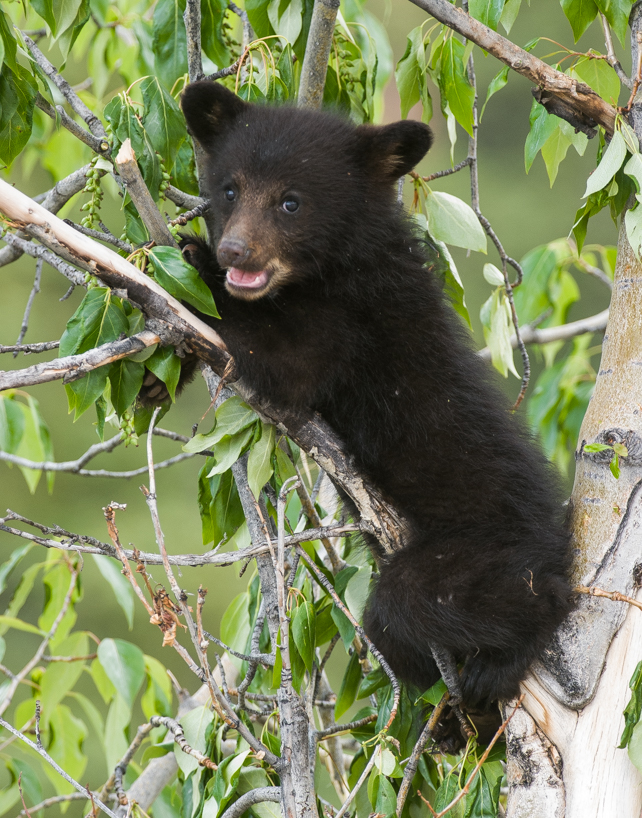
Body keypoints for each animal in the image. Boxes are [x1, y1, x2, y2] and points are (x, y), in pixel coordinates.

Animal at [177, 80, 572, 712]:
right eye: (230, 189)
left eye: (291, 202)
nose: (235, 251)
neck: (339, 264)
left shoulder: (354, 324)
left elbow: (287, 365)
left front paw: (193, 262)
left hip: (473, 557)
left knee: (420, 604)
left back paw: (495, 669)